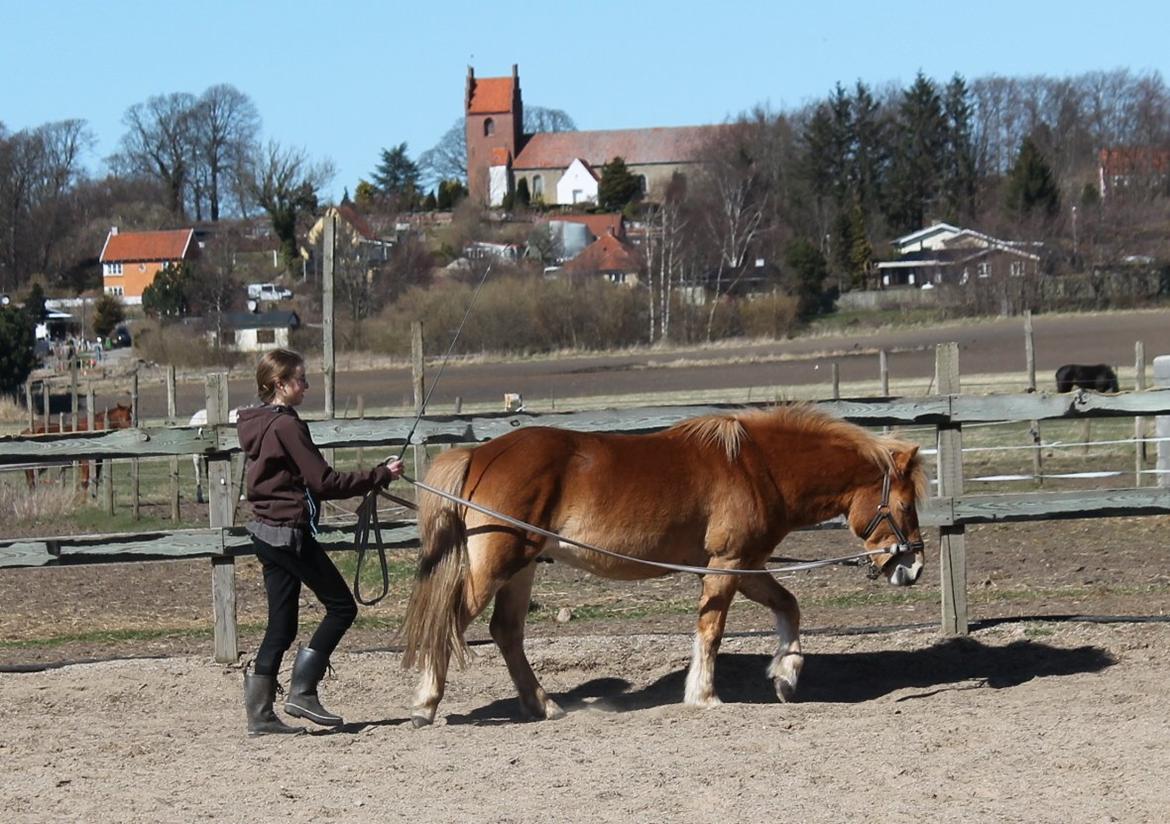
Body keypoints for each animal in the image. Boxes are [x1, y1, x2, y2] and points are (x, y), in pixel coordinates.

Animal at [397, 402, 926, 725]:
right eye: (905, 505)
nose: (913, 567)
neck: (758, 467)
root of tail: (481, 453)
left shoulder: (747, 564)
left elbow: (789, 607)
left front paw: (786, 675)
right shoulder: (728, 564)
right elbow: (711, 631)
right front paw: (705, 695)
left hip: (521, 569)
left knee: (506, 632)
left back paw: (544, 705)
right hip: (496, 567)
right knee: (448, 621)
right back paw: (424, 705)